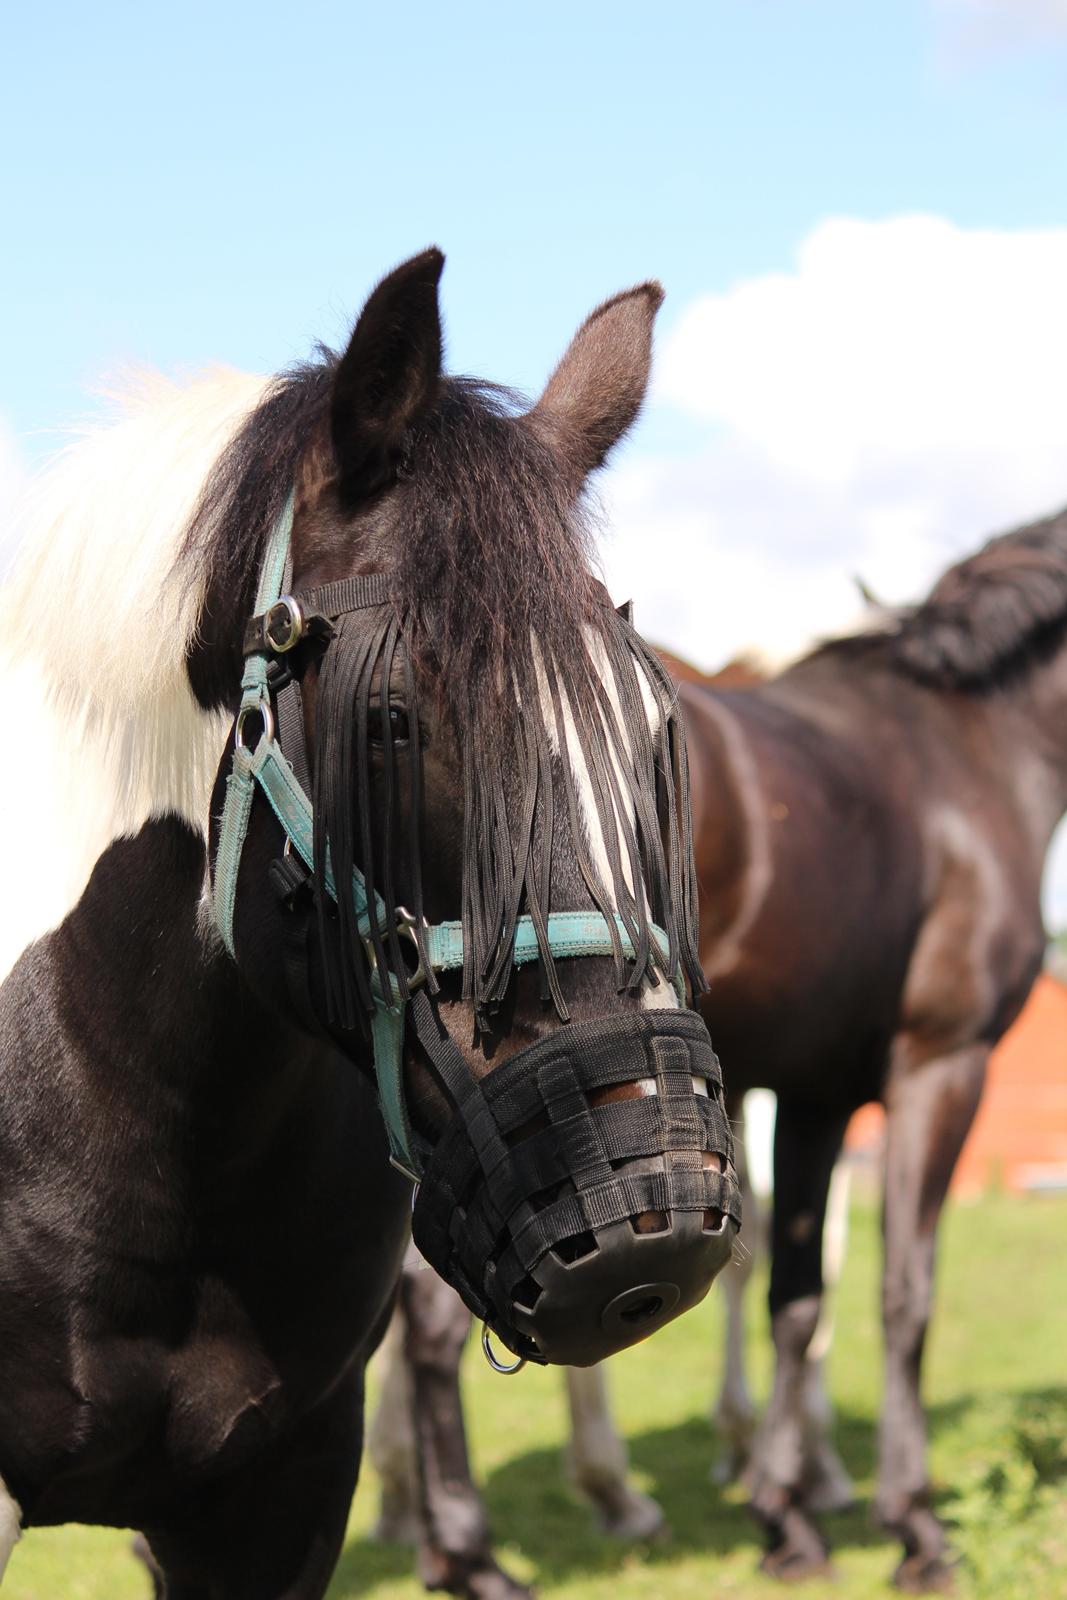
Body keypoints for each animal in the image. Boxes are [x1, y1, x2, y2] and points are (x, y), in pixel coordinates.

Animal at [363, 515, 1067, 1600]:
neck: (970, 740)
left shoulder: (816, 1090)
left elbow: (795, 1291)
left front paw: (786, 1515)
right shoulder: (938, 1067)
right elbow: (901, 1294)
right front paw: (910, 1523)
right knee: (435, 1321)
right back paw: (472, 1548)